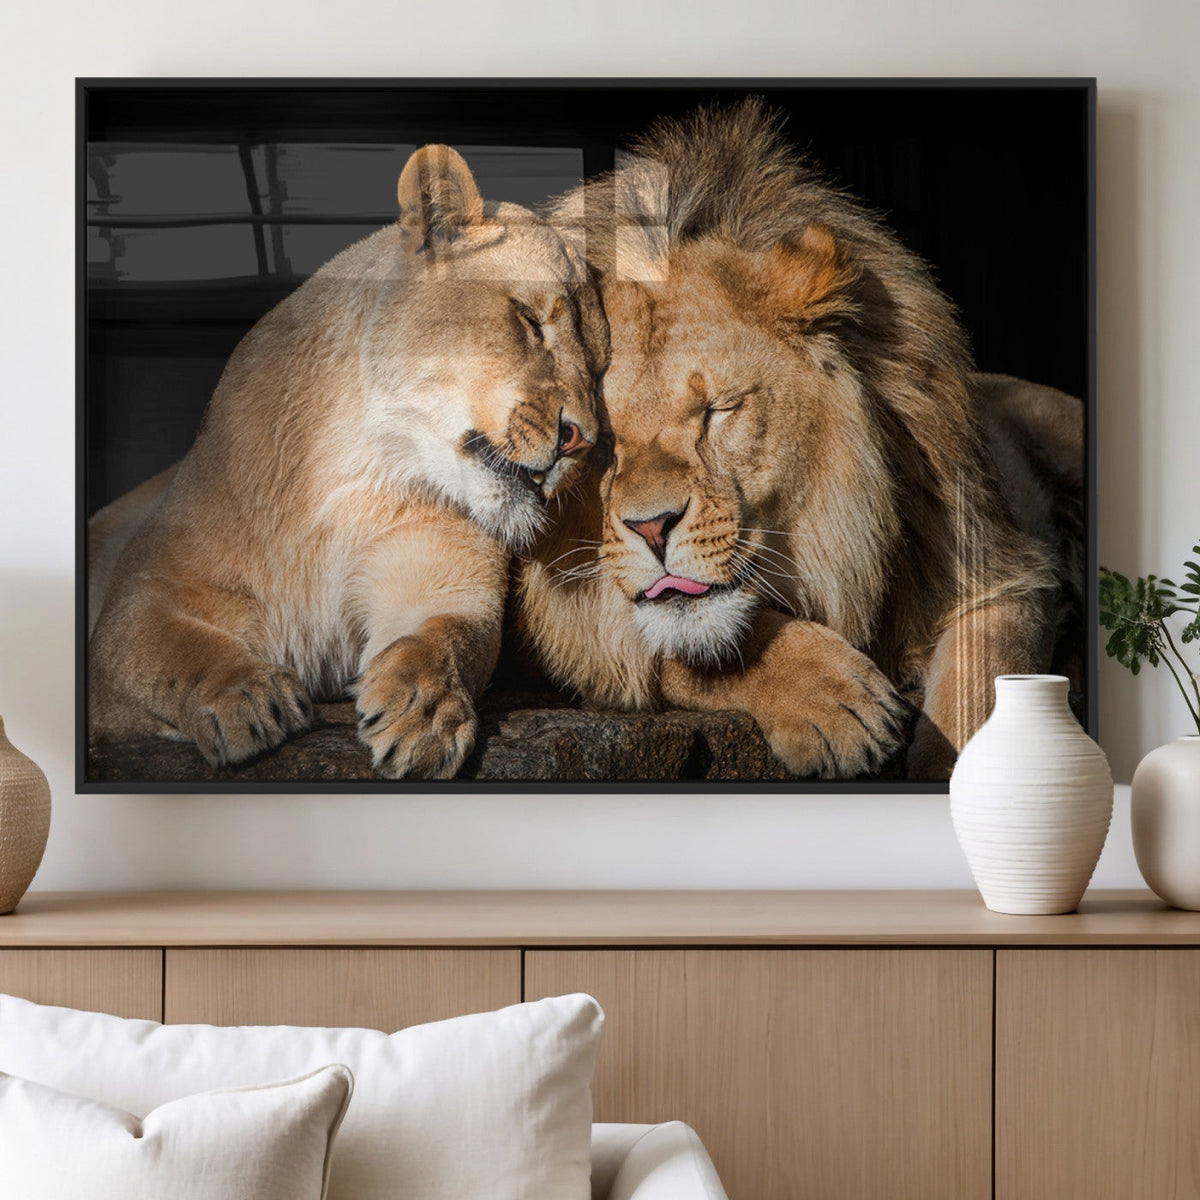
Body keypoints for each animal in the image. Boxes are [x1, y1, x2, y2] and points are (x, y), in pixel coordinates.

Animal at [88, 144, 607, 780]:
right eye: (531, 321)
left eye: (600, 369)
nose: (581, 441)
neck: (356, 469)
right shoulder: (141, 598)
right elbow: (169, 649)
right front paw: (244, 697)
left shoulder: (443, 579)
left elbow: (446, 639)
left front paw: (424, 713)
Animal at [516, 100, 1081, 780]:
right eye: (596, 441)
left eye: (718, 410)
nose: (651, 528)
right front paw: (835, 702)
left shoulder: (1002, 569)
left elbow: (980, 696)